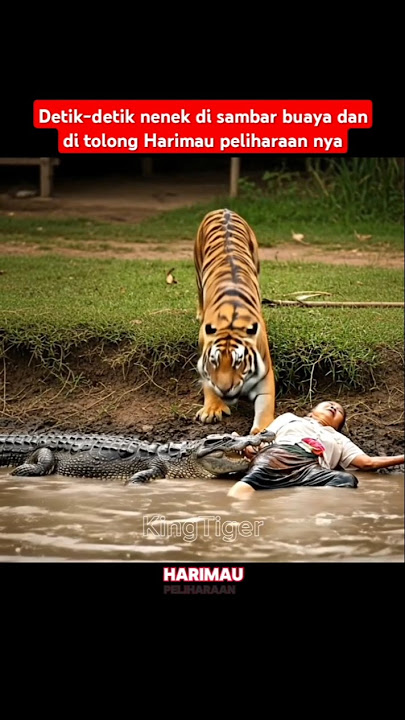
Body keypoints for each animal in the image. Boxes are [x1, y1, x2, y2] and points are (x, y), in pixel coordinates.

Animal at [193, 208, 276, 435]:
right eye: (214, 361)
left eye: (238, 362)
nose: (224, 389)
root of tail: (223, 209)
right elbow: (207, 384)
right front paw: (212, 409)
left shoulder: (266, 378)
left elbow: (265, 409)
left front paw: (261, 431)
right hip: (197, 267)